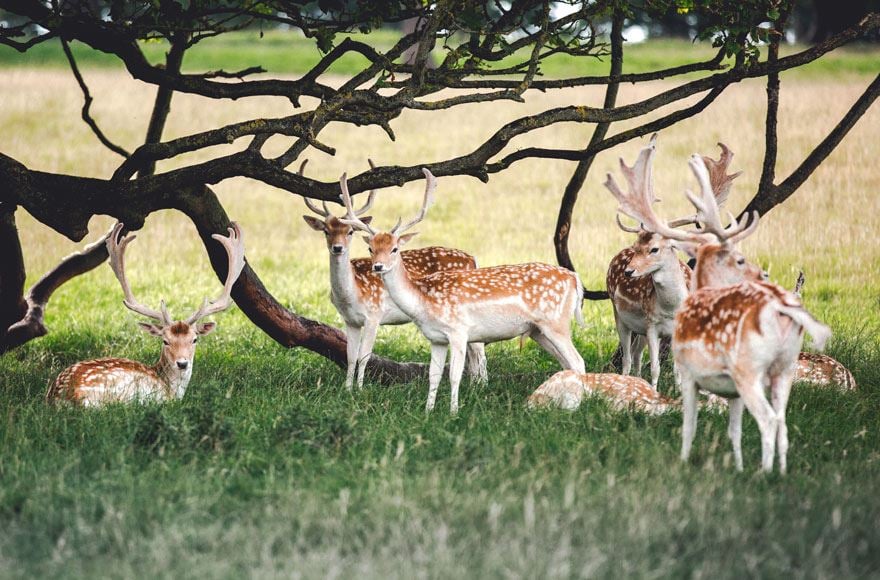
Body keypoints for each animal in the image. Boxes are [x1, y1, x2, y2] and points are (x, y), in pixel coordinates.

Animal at [300, 159, 484, 390]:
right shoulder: (350, 320)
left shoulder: (374, 314)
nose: (337, 248)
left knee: (478, 348)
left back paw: (481, 385)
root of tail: (473, 259)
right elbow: (350, 356)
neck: (352, 293)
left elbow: (364, 356)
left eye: (349, 232)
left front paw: (360, 389)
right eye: (326, 231)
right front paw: (347, 388)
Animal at [340, 170, 588, 414]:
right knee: (566, 363)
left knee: (578, 361)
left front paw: (453, 412)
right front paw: (428, 412)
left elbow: (454, 376)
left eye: (394, 249)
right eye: (371, 248)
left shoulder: (458, 331)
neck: (423, 301)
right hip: (537, 330)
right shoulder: (436, 338)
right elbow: (434, 376)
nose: (378, 267)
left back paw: (580, 407)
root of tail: (574, 279)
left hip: (556, 322)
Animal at [604, 135, 744, 390]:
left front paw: (678, 391)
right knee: (627, 357)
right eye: (639, 246)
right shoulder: (651, 325)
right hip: (618, 314)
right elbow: (656, 367)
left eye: (655, 248)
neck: (670, 309)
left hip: (637, 328)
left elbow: (678, 370)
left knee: (636, 354)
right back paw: (626, 380)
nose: (629, 271)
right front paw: (655, 391)